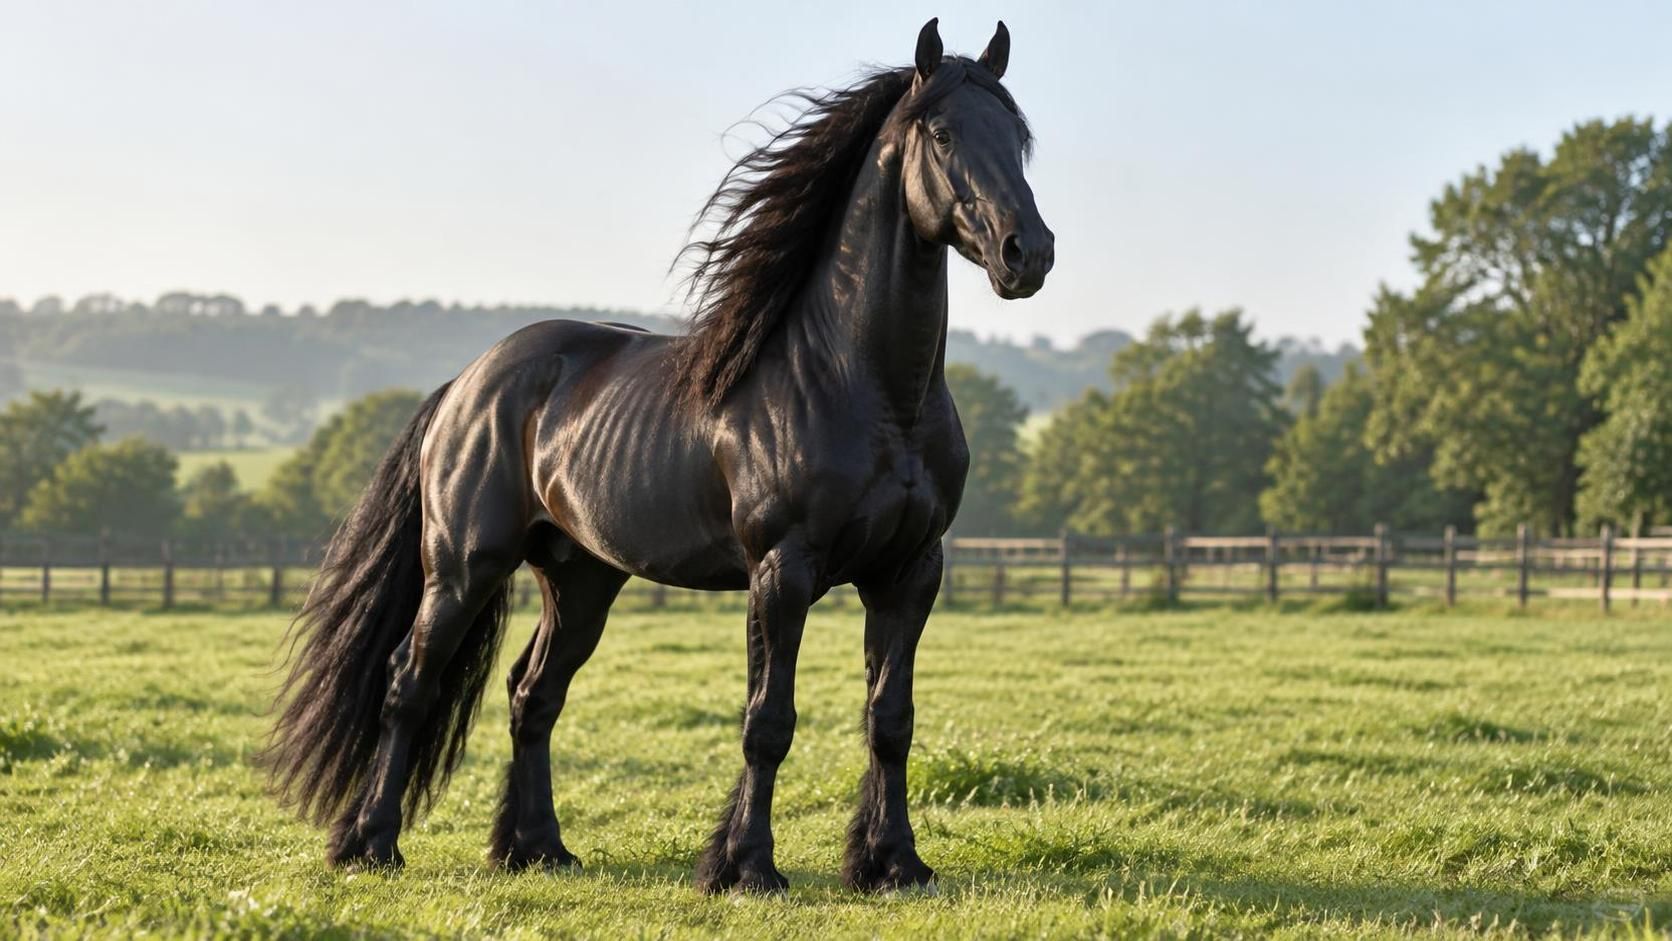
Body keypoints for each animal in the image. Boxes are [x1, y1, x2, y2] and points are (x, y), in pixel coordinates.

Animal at [262, 17, 1053, 895]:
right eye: (942, 134)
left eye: (1018, 138)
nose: (1027, 253)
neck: (870, 388)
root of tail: (466, 383)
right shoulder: (783, 570)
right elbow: (768, 721)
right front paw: (747, 867)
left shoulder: (910, 572)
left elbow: (891, 719)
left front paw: (893, 863)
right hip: (465, 565)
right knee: (410, 683)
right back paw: (372, 843)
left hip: (580, 577)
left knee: (533, 693)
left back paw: (536, 847)